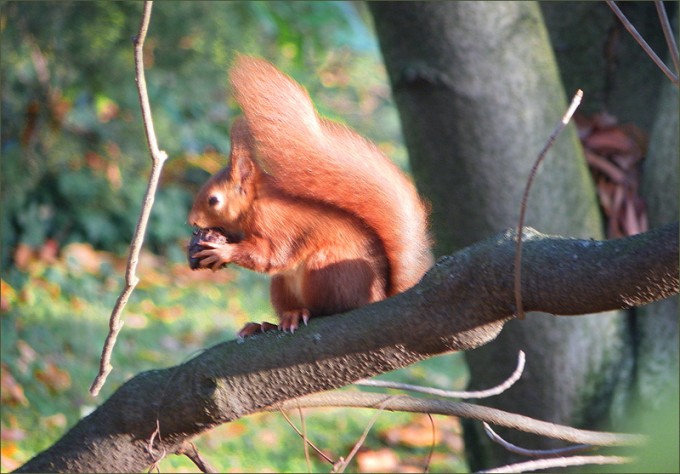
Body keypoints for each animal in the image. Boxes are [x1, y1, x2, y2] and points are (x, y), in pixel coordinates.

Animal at [188, 56, 433, 337]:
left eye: (213, 200)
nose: (192, 221)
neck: (256, 204)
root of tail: (378, 296)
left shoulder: (277, 224)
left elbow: (269, 255)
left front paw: (222, 251)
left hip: (326, 270)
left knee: (328, 307)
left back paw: (300, 314)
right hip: (281, 286)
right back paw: (266, 324)